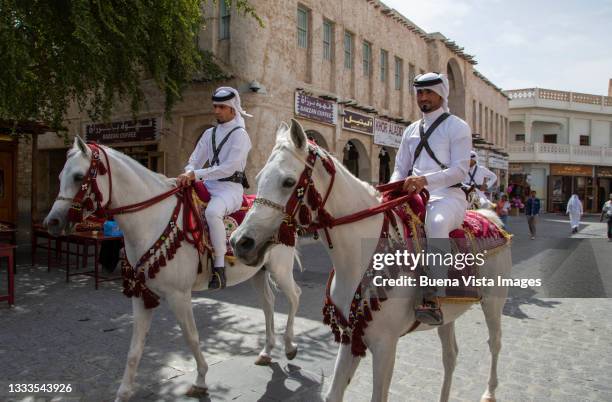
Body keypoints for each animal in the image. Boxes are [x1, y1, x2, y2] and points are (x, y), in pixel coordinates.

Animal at [43, 137, 302, 400]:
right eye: (60, 176)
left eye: (78, 176)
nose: (51, 222)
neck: (152, 219)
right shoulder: (141, 295)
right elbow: (135, 348)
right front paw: (124, 392)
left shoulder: (179, 296)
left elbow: (191, 337)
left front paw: (200, 380)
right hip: (259, 271)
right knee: (268, 304)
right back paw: (267, 351)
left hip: (280, 269)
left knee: (294, 296)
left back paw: (290, 346)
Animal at [230, 121, 512, 402]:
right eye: (258, 178)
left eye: (288, 181)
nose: (240, 242)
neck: (358, 259)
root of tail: (491, 218)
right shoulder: (350, 335)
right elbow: (333, 393)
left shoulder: (385, 344)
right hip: (449, 316)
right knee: (450, 356)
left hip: (493, 302)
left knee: (495, 342)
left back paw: (490, 391)